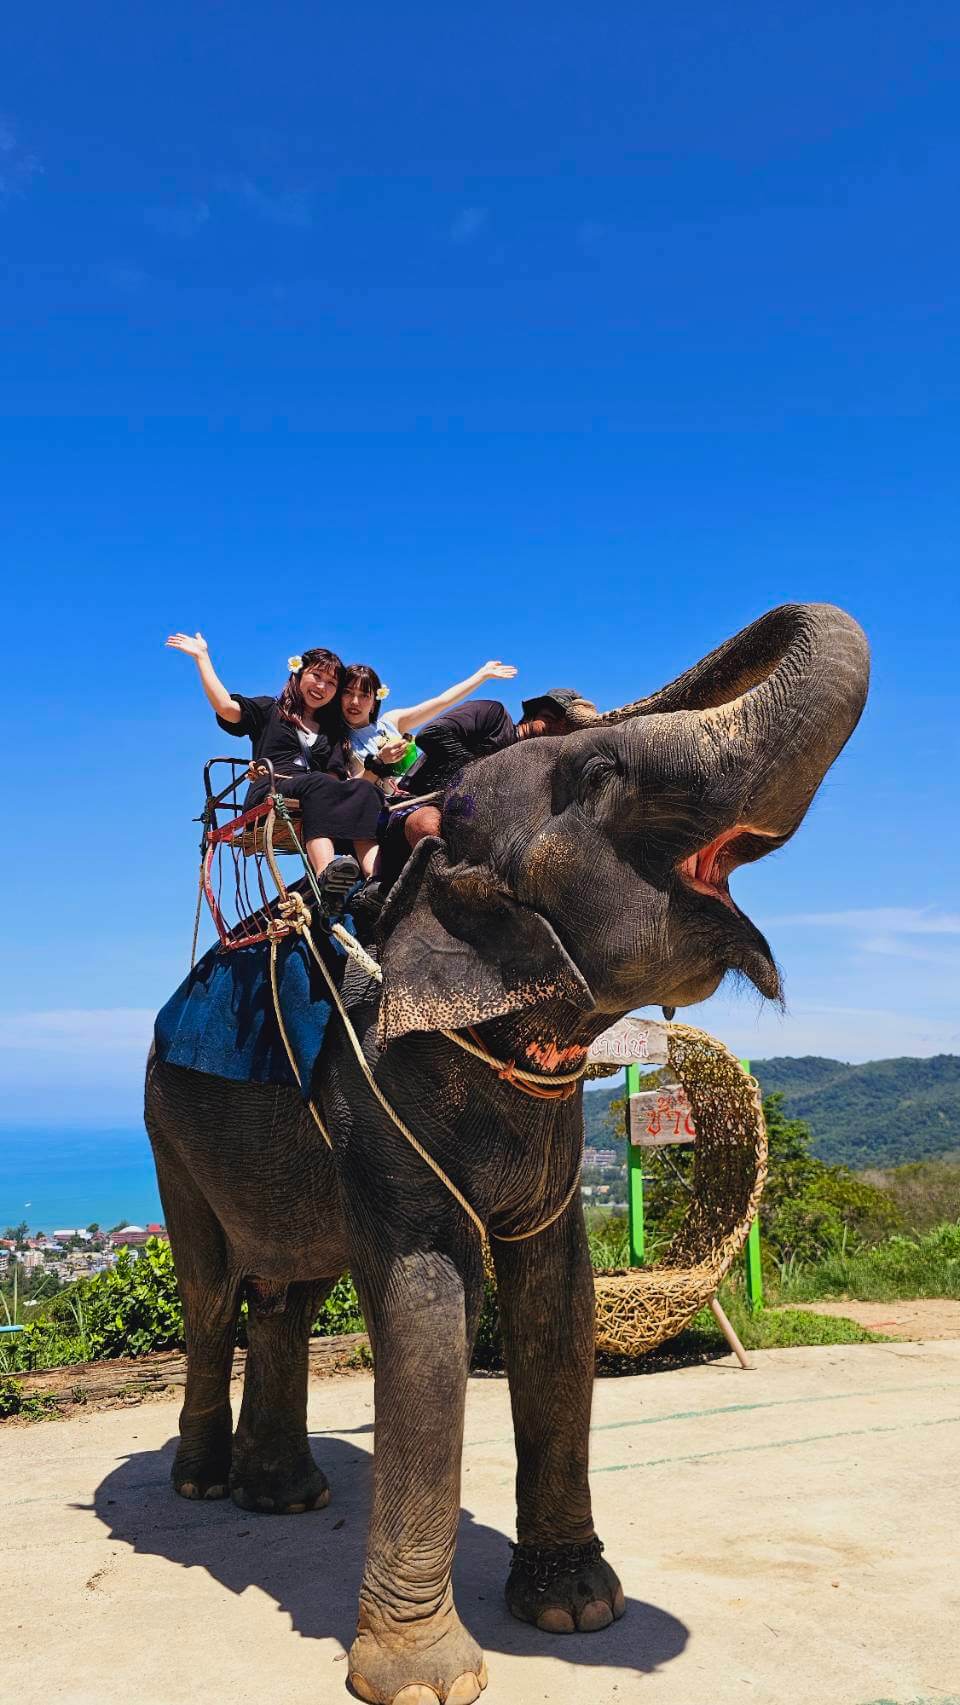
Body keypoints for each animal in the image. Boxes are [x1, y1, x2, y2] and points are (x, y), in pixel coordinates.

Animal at [145, 601, 869, 1705]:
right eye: (604, 775)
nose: (549, 700)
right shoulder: (374, 1080)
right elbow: (428, 1300)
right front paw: (424, 1681)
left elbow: (557, 1299)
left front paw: (577, 1611)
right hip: (166, 1126)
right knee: (214, 1288)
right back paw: (200, 1484)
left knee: (287, 1294)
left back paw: (285, 1496)